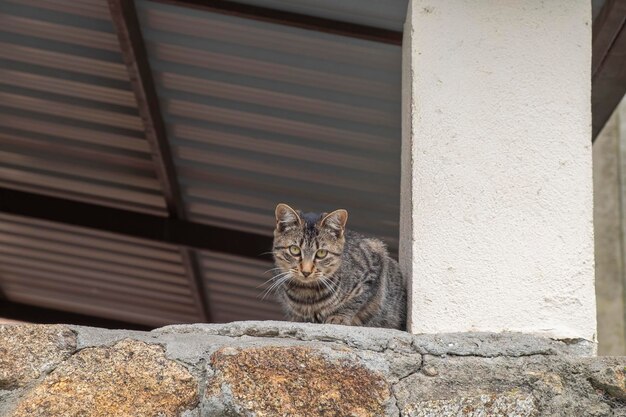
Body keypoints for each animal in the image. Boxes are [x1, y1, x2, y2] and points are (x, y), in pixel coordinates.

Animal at [268, 203, 404, 330]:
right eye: (294, 250)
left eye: (321, 253)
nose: (306, 272)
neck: (306, 293)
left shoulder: (374, 264)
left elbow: (355, 301)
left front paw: (339, 317)